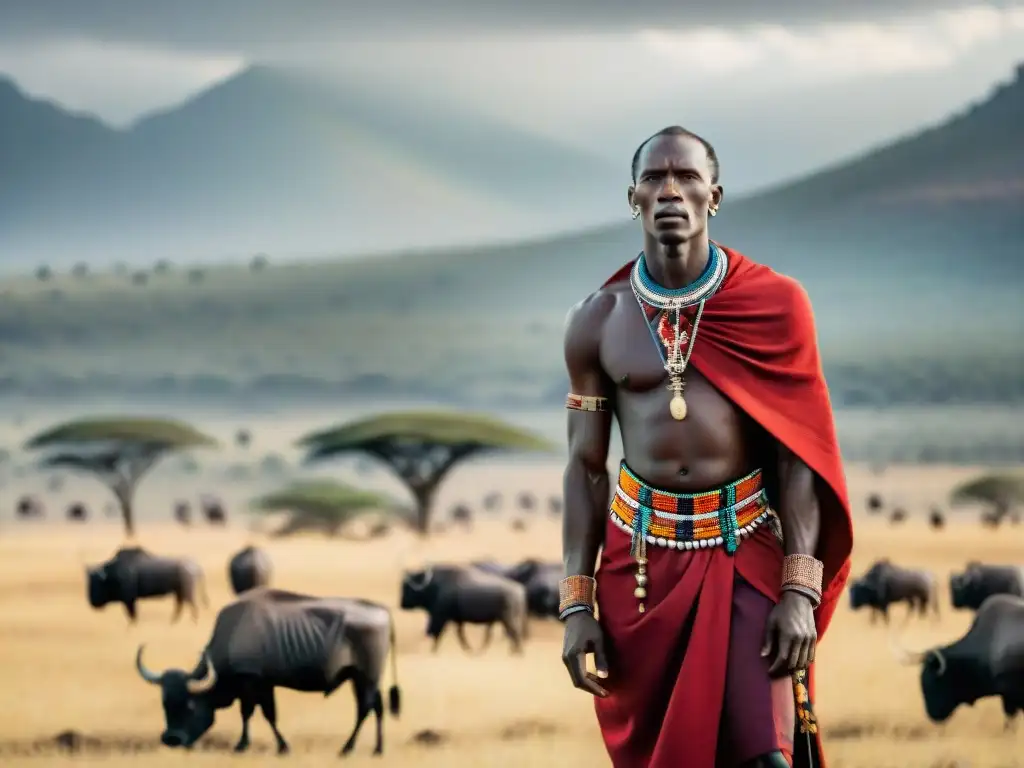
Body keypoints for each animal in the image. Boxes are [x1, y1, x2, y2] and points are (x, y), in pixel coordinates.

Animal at [138, 589, 401, 757]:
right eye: (165, 704)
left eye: (190, 705)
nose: (171, 739)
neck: (233, 633)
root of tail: (382, 611)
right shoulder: (264, 686)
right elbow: (262, 714)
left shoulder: (253, 684)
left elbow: (257, 714)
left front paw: (251, 746)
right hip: (364, 680)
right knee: (377, 708)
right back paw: (378, 749)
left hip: (365, 679)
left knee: (365, 710)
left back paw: (347, 748)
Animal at [399, 565, 528, 655]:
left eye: (406, 587)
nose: (402, 604)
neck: (435, 585)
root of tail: (519, 590)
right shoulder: (457, 620)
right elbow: (460, 635)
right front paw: (468, 649)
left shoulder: (440, 618)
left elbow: (436, 634)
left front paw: (433, 651)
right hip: (507, 620)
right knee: (513, 635)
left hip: (508, 620)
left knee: (514, 634)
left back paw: (517, 653)